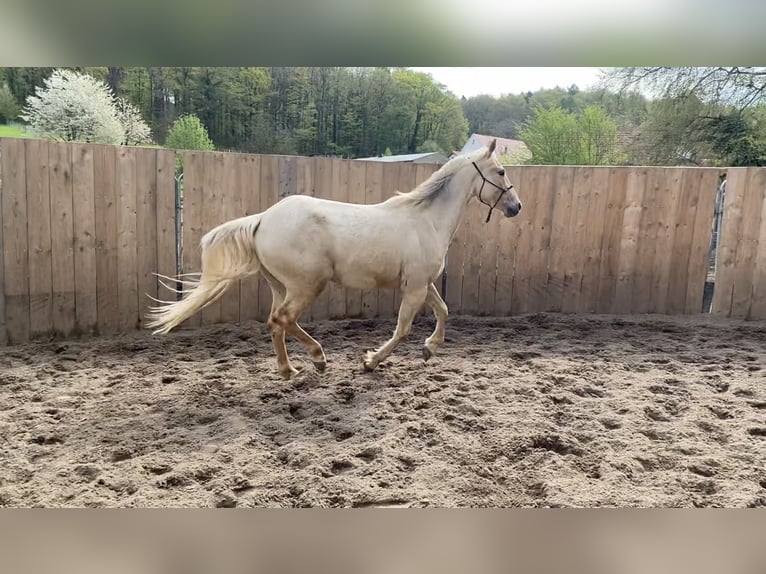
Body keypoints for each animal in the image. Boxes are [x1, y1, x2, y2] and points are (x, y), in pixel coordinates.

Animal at [146, 139, 522, 379]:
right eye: (502, 172)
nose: (516, 207)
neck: (426, 219)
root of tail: (263, 219)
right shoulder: (414, 287)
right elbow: (402, 328)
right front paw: (371, 362)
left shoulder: (422, 284)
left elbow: (443, 310)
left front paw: (430, 349)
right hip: (307, 285)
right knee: (283, 320)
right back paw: (318, 359)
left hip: (281, 286)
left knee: (274, 323)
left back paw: (289, 370)